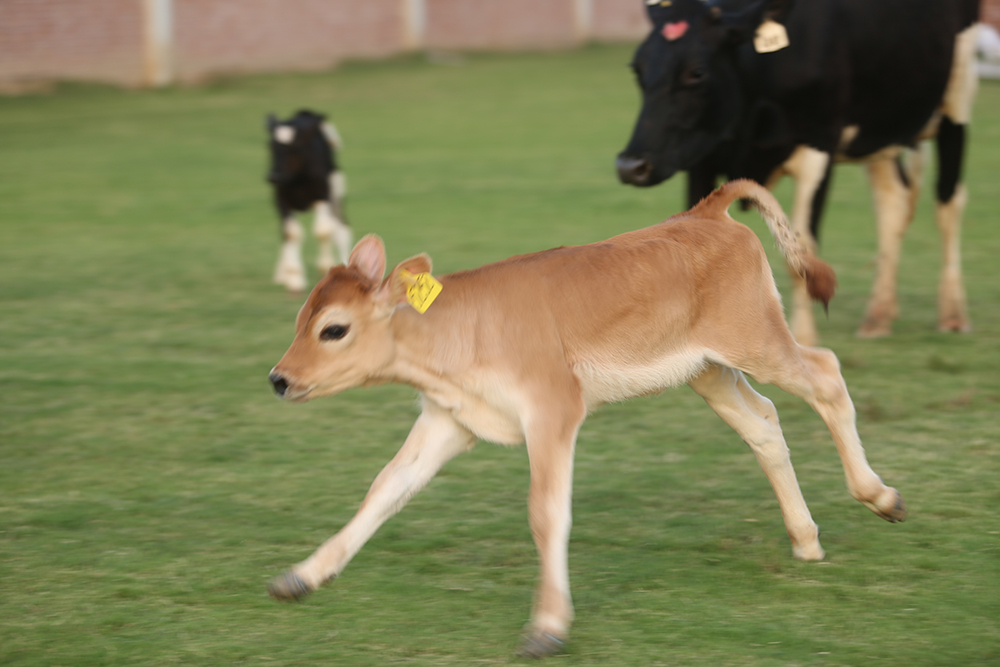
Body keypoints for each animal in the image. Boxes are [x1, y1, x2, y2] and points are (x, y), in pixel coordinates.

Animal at [265, 180, 905, 658]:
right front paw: (303, 575)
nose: (279, 378)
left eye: (334, 329)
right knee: (765, 424)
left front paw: (547, 626)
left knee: (826, 376)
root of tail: (704, 212)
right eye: (300, 318)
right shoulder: (449, 421)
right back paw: (805, 539)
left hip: (758, 341)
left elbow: (546, 513)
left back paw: (878, 495)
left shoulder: (552, 411)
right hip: (708, 371)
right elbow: (384, 489)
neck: (459, 331)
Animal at [267, 110, 352, 293]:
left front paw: (324, 268)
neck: (298, 179)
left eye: (295, 147)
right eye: (271, 146)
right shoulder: (281, 200)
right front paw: (294, 278)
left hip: (336, 194)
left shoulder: (322, 195)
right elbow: (290, 233)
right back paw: (282, 273)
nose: (274, 176)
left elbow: (323, 230)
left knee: (341, 228)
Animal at [617, 0, 980, 345]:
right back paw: (878, 315)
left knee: (948, 204)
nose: (630, 166)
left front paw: (803, 339)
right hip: (881, 129)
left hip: (956, 99)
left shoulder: (818, 146)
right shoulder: (702, 157)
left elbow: (802, 254)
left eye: (696, 72)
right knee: (893, 202)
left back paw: (952, 314)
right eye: (637, 68)